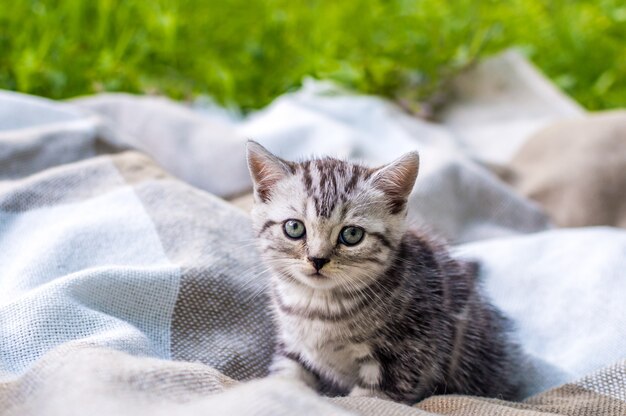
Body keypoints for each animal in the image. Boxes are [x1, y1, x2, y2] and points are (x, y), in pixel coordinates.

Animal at [246, 140, 520, 404]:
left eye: (352, 234)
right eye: (294, 228)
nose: (318, 259)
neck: (318, 306)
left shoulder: (407, 353)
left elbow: (371, 398)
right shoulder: (292, 344)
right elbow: (287, 377)